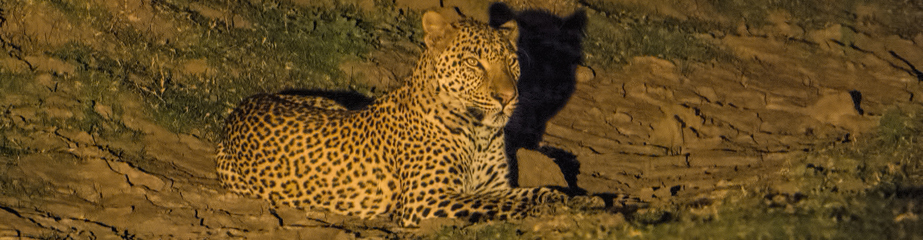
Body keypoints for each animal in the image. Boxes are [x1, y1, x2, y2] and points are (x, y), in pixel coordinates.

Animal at [217, 8, 600, 227]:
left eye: (512, 62)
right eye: (474, 63)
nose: (508, 98)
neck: (478, 133)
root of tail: (240, 107)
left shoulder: (494, 185)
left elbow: (530, 192)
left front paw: (584, 201)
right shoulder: (427, 201)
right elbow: (498, 206)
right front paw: (557, 210)